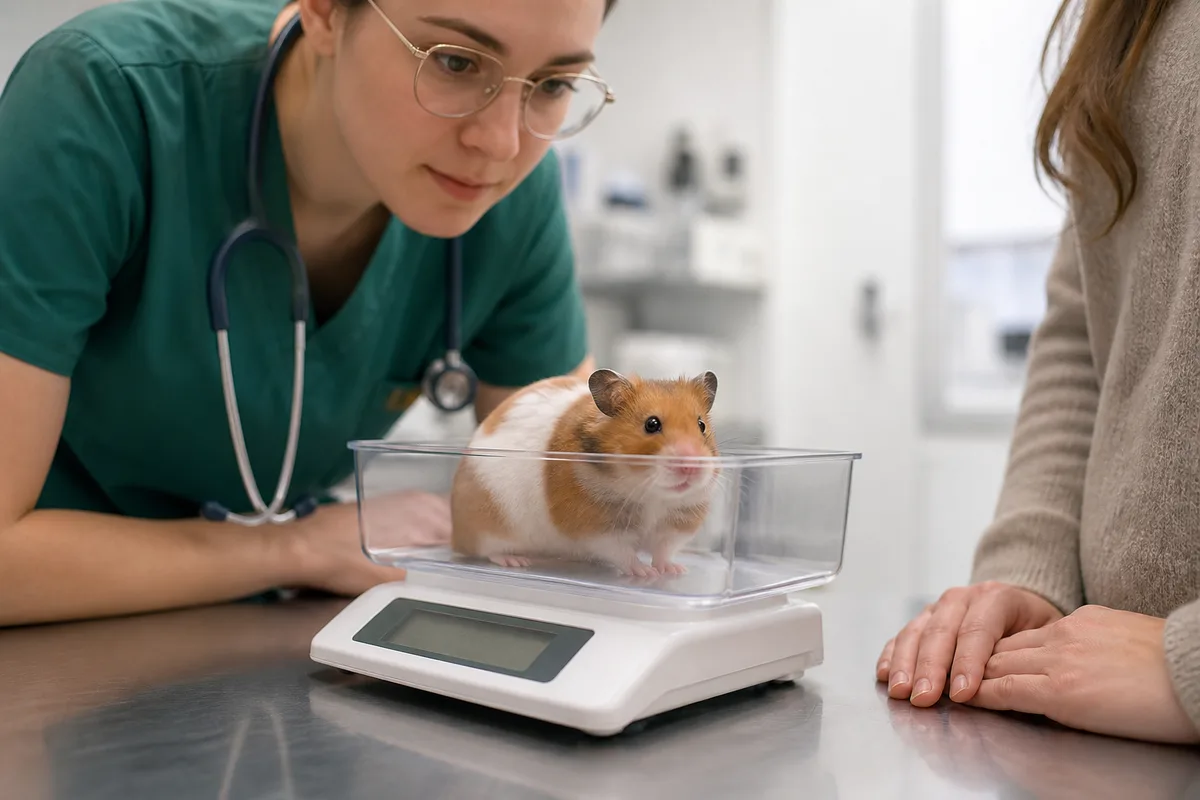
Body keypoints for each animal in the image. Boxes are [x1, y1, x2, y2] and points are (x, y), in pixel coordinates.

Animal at [450, 368, 720, 578]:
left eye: (701, 425)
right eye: (651, 424)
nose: (692, 466)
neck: (651, 494)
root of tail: (455, 534)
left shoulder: (677, 523)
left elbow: (664, 549)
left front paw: (674, 570)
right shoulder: (596, 527)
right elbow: (622, 552)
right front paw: (645, 572)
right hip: (488, 528)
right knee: (487, 550)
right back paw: (516, 561)